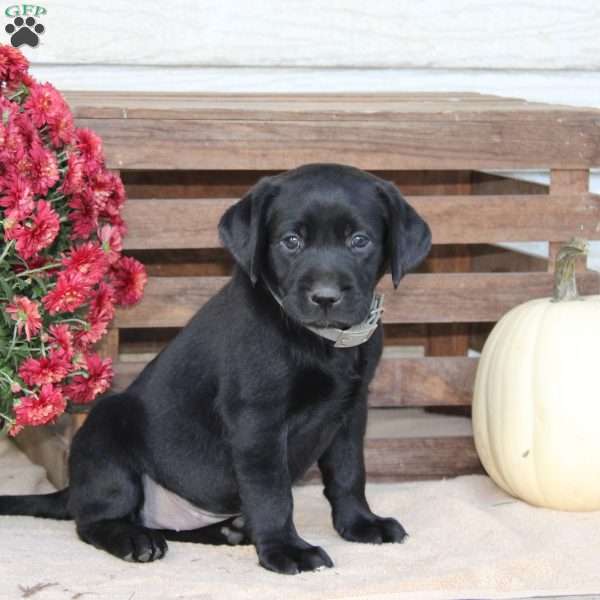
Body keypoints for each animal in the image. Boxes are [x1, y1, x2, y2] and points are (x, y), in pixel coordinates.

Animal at [0, 162, 432, 576]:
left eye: (360, 241)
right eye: (291, 241)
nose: (325, 297)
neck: (321, 342)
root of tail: (73, 488)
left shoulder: (350, 412)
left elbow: (348, 474)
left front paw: (361, 524)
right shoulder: (258, 420)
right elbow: (272, 494)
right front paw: (286, 550)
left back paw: (228, 531)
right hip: (107, 429)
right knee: (92, 521)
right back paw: (134, 540)